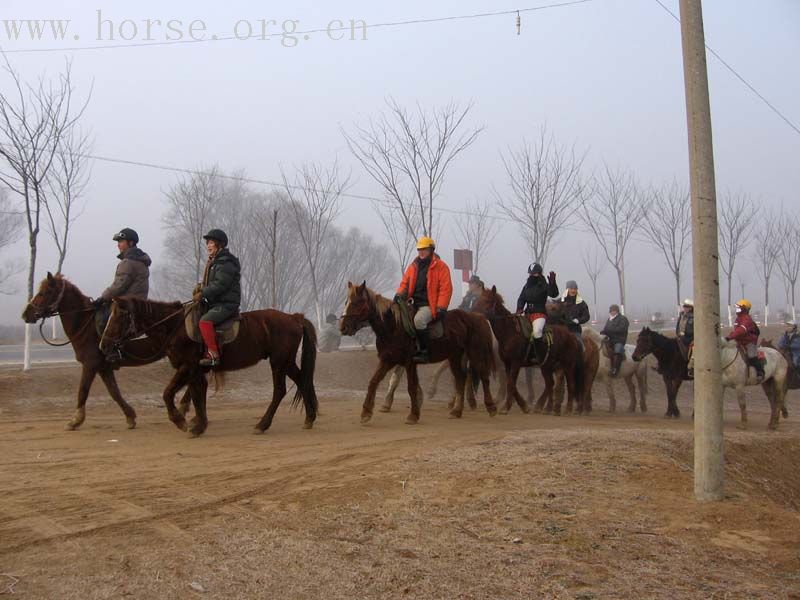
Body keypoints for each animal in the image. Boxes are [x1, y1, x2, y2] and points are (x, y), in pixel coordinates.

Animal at [20, 272, 178, 432]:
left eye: (45, 292)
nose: (26, 314)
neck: (85, 325)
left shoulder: (90, 365)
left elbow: (83, 390)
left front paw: (75, 420)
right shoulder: (104, 368)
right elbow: (114, 392)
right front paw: (130, 416)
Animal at [101, 298, 320, 438]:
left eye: (118, 317)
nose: (103, 345)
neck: (176, 327)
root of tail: (294, 317)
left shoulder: (188, 366)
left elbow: (170, 393)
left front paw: (183, 422)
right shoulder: (193, 370)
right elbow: (196, 395)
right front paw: (197, 423)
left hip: (278, 362)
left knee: (279, 391)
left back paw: (262, 424)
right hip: (287, 362)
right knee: (302, 381)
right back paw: (309, 418)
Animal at [336, 280, 494, 424]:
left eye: (357, 303)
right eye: (346, 302)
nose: (343, 328)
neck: (394, 327)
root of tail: (477, 317)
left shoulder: (409, 362)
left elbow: (411, 387)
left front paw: (413, 415)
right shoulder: (387, 360)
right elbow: (373, 382)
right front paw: (366, 412)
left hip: (475, 354)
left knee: (484, 377)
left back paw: (491, 406)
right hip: (455, 356)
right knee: (460, 379)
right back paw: (456, 411)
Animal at [472, 288, 584, 418]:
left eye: (487, 300)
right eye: (479, 299)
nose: (474, 313)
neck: (510, 332)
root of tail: (571, 336)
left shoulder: (515, 363)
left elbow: (510, 384)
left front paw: (506, 408)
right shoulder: (508, 364)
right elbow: (511, 383)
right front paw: (524, 406)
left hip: (568, 366)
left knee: (570, 385)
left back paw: (567, 409)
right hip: (547, 366)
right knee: (550, 384)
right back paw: (548, 408)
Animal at [636, 326, 792, 428]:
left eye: (644, 341)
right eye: (637, 340)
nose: (634, 356)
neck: (670, 352)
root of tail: (780, 355)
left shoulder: (678, 377)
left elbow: (673, 393)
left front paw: (675, 412)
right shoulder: (667, 377)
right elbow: (670, 393)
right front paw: (671, 412)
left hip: (777, 380)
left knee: (778, 398)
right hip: (767, 382)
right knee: (773, 399)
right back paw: (773, 421)